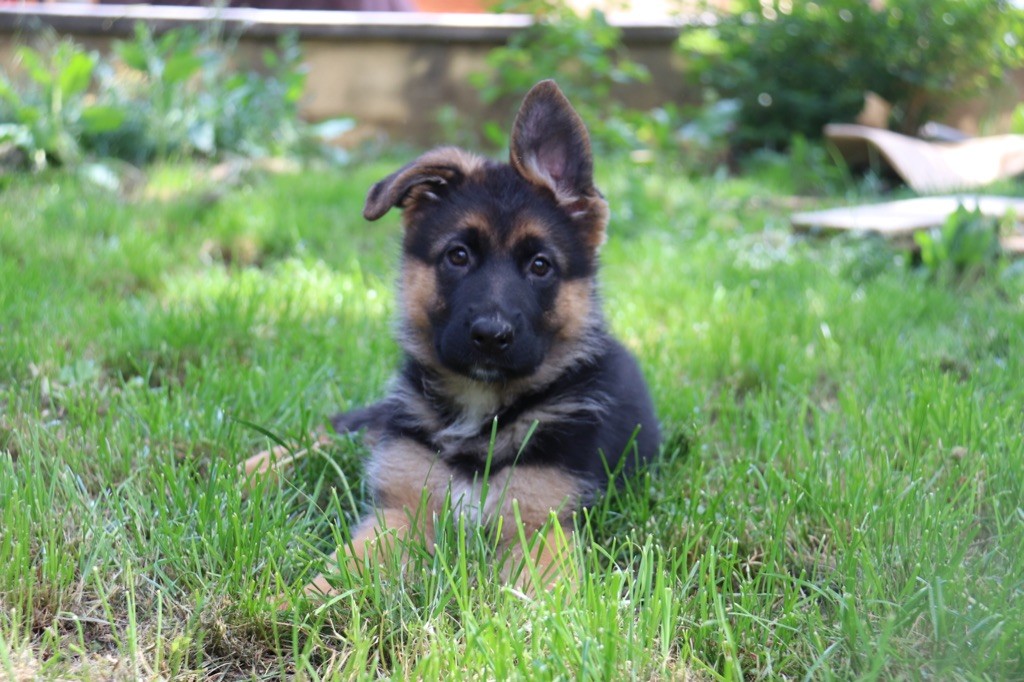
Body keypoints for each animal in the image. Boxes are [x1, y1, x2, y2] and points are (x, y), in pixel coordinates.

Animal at [249, 78, 663, 589]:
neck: (482, 410)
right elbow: (347, 571)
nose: (491, 335)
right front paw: (297, 602)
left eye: (540, 266)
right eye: (458, 256)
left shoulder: (543, 524)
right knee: (332, 431)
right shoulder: (400, 509)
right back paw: (250, 470)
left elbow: (543, 590)